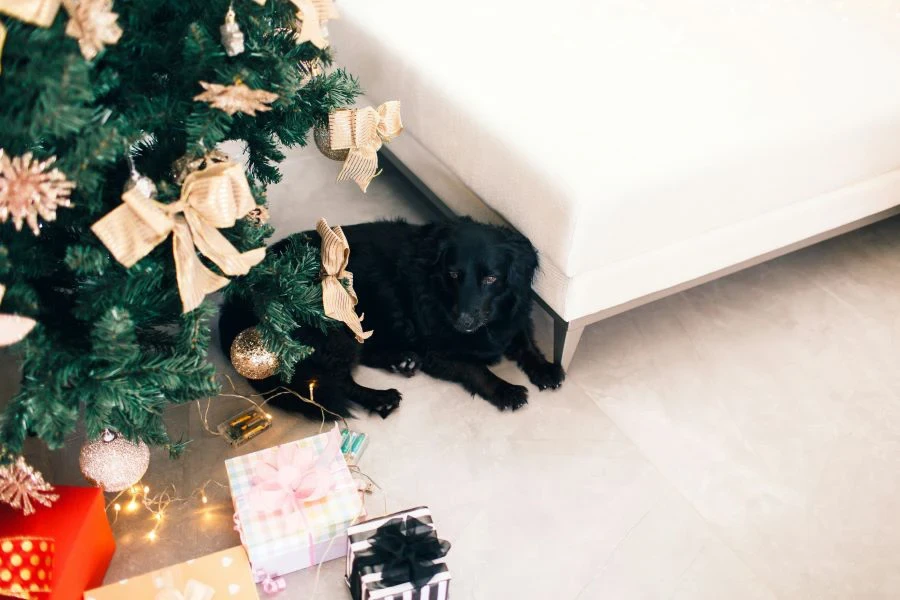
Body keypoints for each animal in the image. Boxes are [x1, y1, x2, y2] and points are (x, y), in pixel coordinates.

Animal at [220, 218, 564, 420]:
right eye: (453, 274)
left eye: (491, 278)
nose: (463, 322)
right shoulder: (437, 349)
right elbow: (476, 369)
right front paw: (506, 390)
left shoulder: (514, 315)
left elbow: (525, 341)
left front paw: (545, 368)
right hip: (334, 326)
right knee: (337, 381)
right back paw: (380, 398)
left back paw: (401, 361)